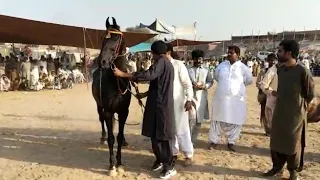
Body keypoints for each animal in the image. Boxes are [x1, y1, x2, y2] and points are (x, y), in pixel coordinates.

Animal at [92, 17, 133, 176]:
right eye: (103, 38)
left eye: (116, 38)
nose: (102, 61)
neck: (118, 83)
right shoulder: (108, 111)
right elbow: (111, 138)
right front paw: (112, 166)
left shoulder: (123, 112)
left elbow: (119, 137)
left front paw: (120, 164)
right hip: (99, 106)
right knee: (101, 120)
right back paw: (102, 137)